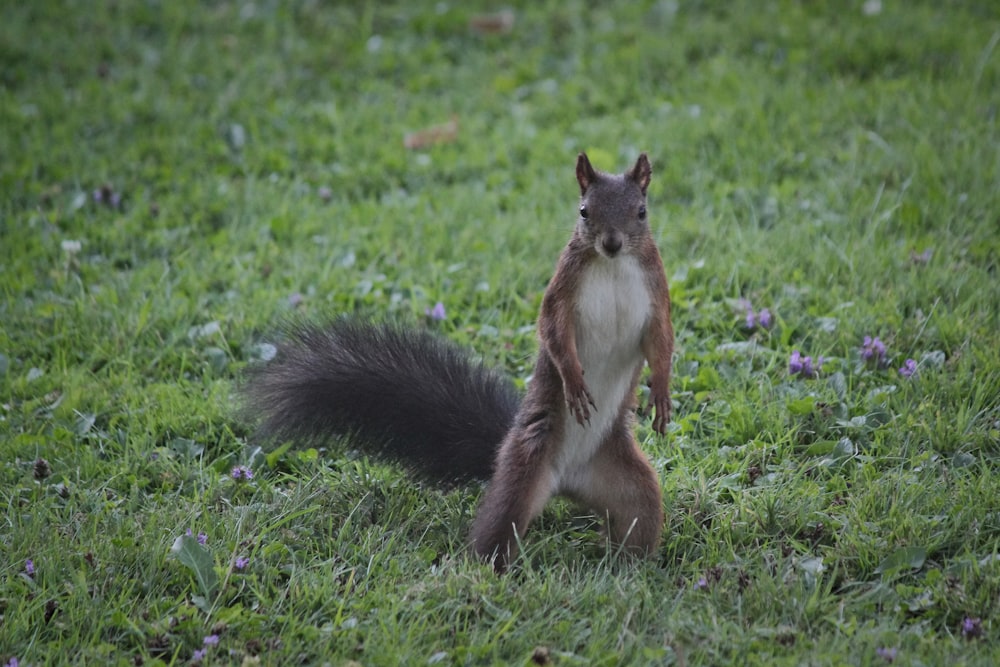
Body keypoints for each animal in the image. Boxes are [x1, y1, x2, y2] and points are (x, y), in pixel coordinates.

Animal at [245, 154, 676, 572]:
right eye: (584, 211)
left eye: (641, 212)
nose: (612, 243)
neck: (613, 267)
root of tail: (566, 481)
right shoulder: (562, 289)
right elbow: (553, 330)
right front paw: (573, 381)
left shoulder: (656, 291)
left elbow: (661, 340)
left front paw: (661, 393)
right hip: (522, 472)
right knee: (495, 530)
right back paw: (488, 572)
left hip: (627, 482)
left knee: (640, 511)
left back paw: (630, 567)